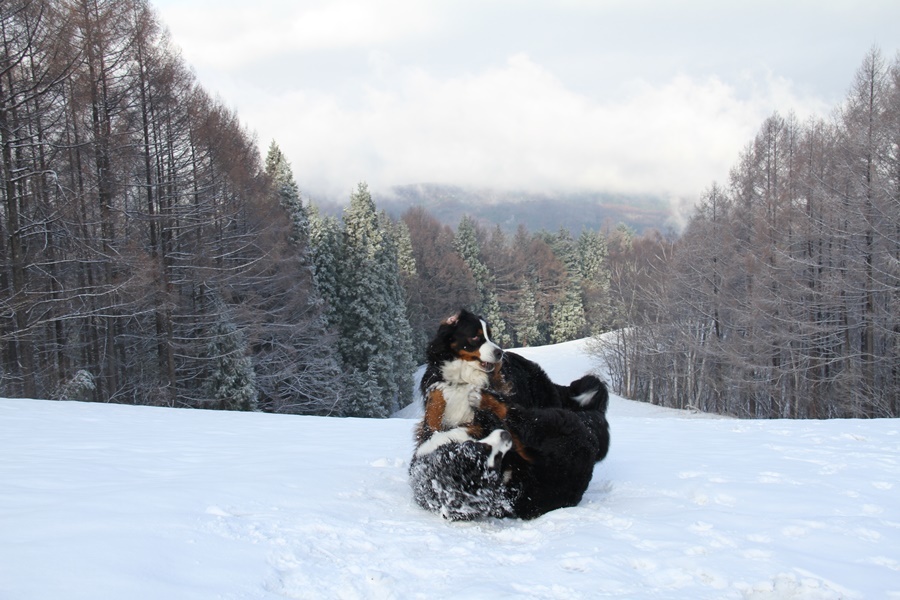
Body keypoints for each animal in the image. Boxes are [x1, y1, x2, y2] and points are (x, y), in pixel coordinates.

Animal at [410, 310, 612, 520]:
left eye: (490, 336)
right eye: (475, 337)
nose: (500, 353)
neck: (464, 379)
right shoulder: (438, 418)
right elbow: (435, 414)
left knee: (510, 411)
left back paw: (482, 396)